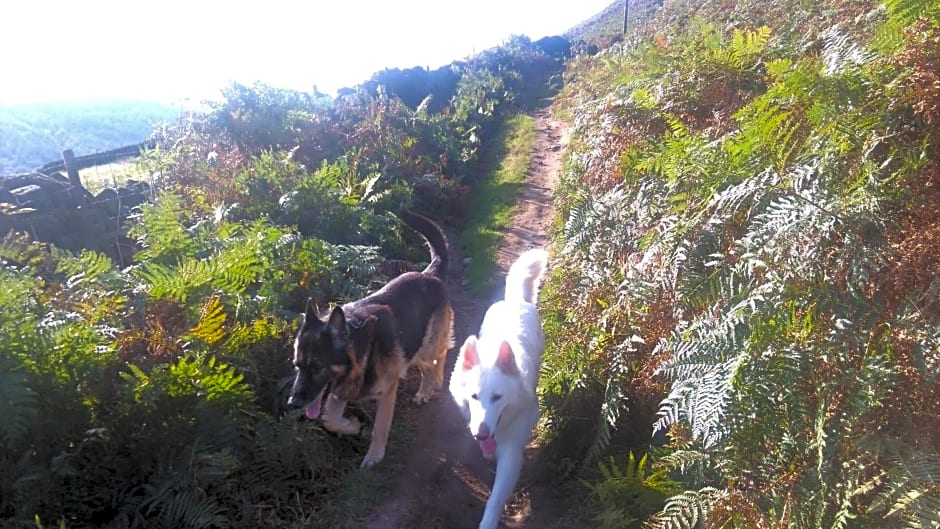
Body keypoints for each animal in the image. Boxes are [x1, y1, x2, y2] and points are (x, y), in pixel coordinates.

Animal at [450, 249, 548, 528]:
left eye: (497, 398)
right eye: (473, 397)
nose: (481, 435)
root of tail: (514, 301)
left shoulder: (512, 453)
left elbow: (494, 499)